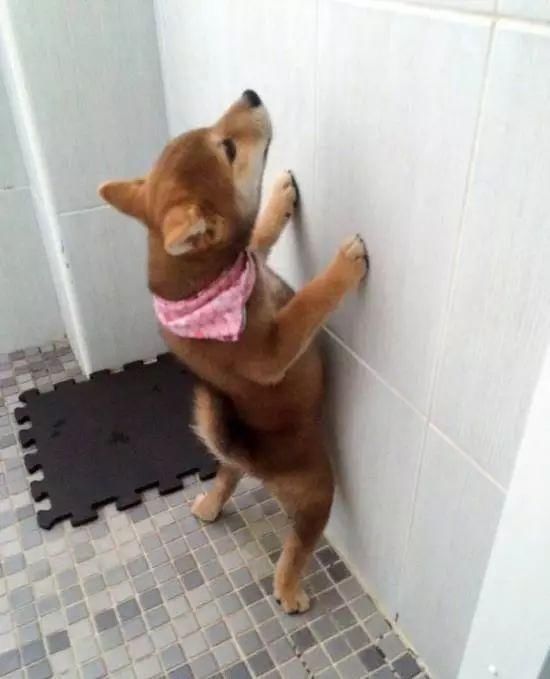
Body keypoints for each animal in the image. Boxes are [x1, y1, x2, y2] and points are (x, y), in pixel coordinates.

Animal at [99, 90, 368, 613]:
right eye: (227, 148)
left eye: (216, 135)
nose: (251, 94)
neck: (200, 285)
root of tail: (254, 460)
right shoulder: (273, 349)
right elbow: (310, 301)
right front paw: (344, 267)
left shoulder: (255, 258)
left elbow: (262, 231)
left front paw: (281, 193)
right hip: (319, 492)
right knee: (297, 545)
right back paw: (289, 589)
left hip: (231, 459)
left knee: (224, 478)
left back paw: (208, 506)